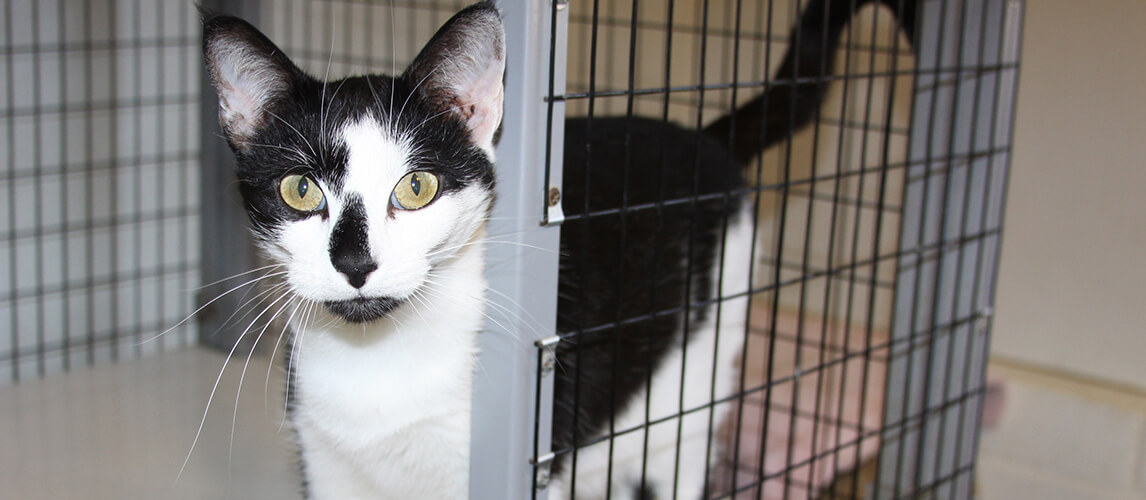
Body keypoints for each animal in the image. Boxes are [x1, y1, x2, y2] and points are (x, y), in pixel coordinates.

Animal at [201, 0, 916, 497]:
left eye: (416, 187)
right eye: (299, 190)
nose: (355, 263)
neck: (381, 362)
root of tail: (700, 137)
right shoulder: (326, 460)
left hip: (696, 382)